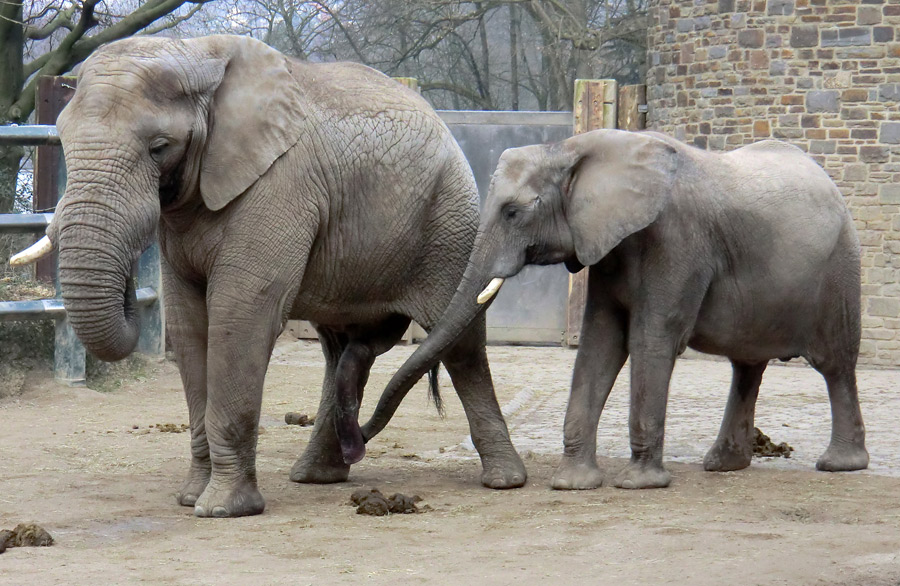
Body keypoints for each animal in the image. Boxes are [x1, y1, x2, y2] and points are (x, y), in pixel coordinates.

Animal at [10, 34, 524, 512]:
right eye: (63, 141)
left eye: (159, 147)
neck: (196, 56)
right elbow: (189, 322)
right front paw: (190, 499)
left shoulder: (280, 184)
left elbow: (238, 314)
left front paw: (222, 509)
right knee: (341, 350)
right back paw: (318, 475)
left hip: (450, 222)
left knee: (460, 343)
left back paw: (503, 481)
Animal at [362, 128, 868, 488]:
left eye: (512, 212)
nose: (359, 440)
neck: (573, 149)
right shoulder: (606, 245)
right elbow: (601, 342)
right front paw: (573, 484)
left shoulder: (677, 241)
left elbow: (651, 338)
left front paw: (638, 484)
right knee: (747, 366)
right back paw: (723, 466)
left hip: (839, 269)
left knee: (835, 363)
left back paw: (839, 465)